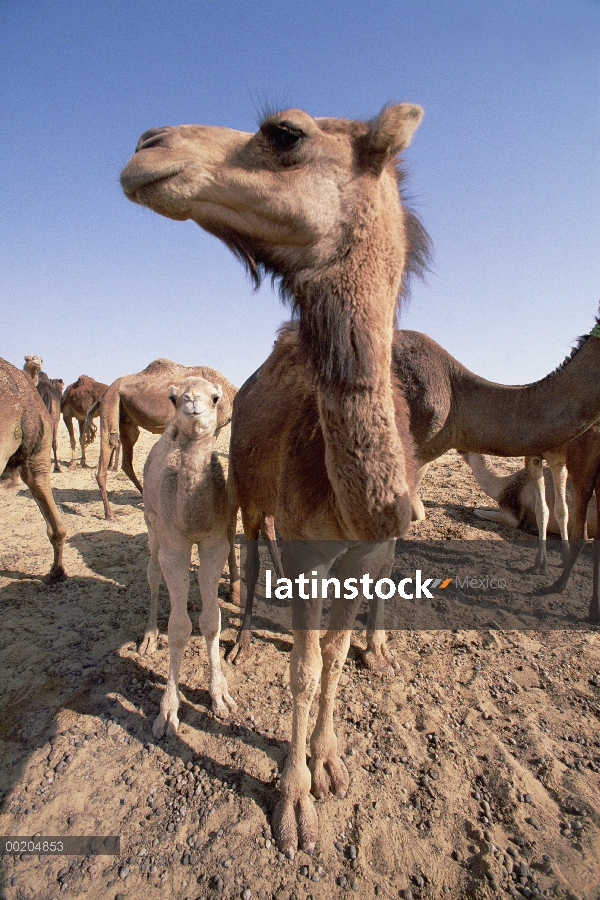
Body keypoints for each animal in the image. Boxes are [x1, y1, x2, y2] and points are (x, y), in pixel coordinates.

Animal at [86, 358, 237, 520]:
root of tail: (104, 393)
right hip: (111, 403)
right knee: (109, 442)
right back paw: (110, 513)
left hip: (127, 420)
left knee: (127, 459)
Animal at [142, 376, 236, 736]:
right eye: (173, 397)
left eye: (215, 397)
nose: (191, 401)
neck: (193, 518)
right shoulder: (174, 549)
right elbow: (179, 627)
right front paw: (167, 712)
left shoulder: (215, 545)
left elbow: (211, 621)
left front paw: (220, 697)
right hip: (151, 523)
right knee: (152, 573)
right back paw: (148, 637)